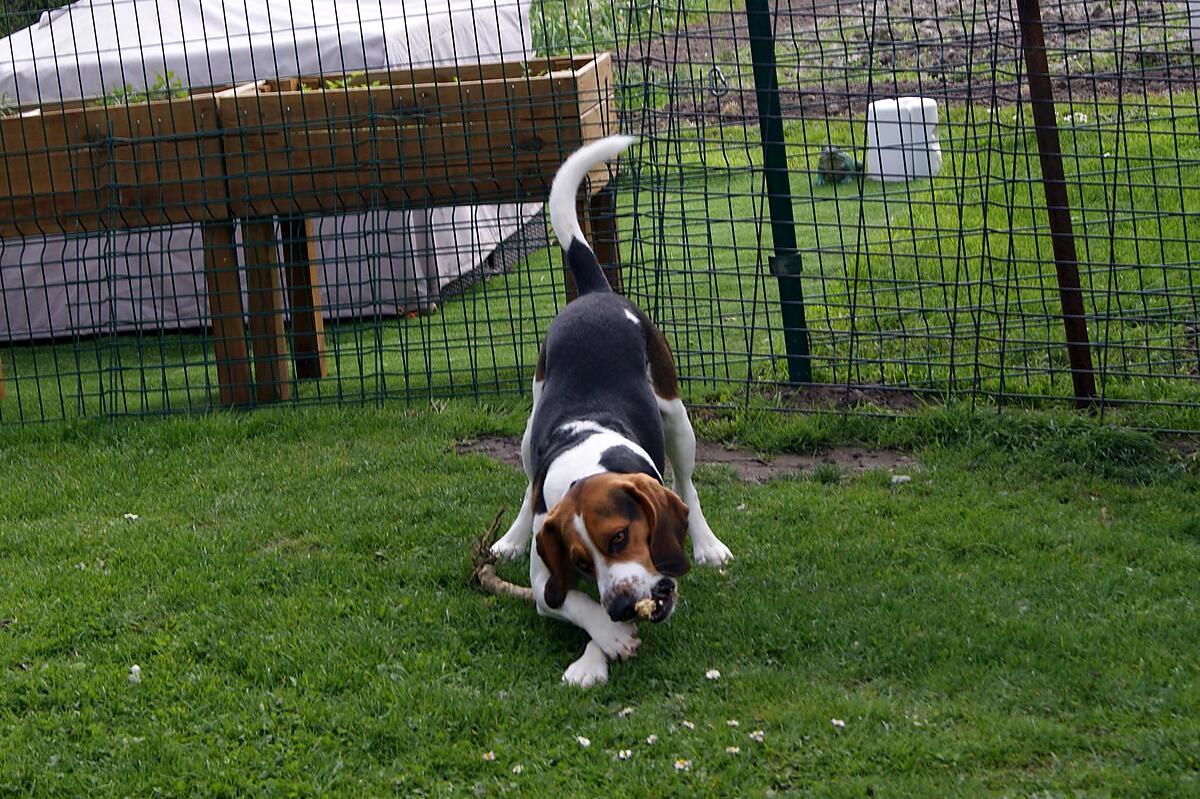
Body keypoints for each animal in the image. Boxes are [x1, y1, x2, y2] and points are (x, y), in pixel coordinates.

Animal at [487, 135, 729, 686]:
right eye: (580, 561)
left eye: (620, 537)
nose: (620, 606)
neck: (586, 463)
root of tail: (596, 294)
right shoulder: (546, 574)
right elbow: (570, 600)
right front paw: (602, 644)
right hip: (529, 428)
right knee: (526, 487)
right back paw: (510, 537)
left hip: (676, 416)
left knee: (688, 486)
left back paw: (706, 543)